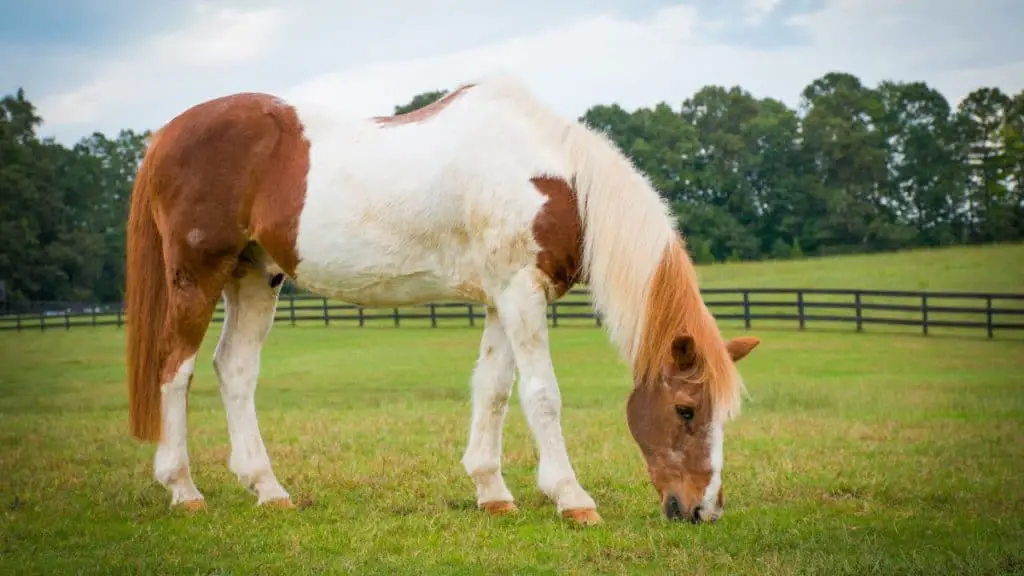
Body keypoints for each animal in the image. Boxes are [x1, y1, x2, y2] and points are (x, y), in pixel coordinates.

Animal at [123, 72, 761, 524]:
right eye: (687, 410)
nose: (704, 509)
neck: (552, 176)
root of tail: (166, 135)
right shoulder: (522, 293)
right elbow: (542, 395)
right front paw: (572, 498)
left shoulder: (505, 296)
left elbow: (494, 390)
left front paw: (492, 491)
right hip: (197, 274)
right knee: (175, 369)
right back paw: (184, 490)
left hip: (256, 277)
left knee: (234, 370)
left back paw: (268, 489)